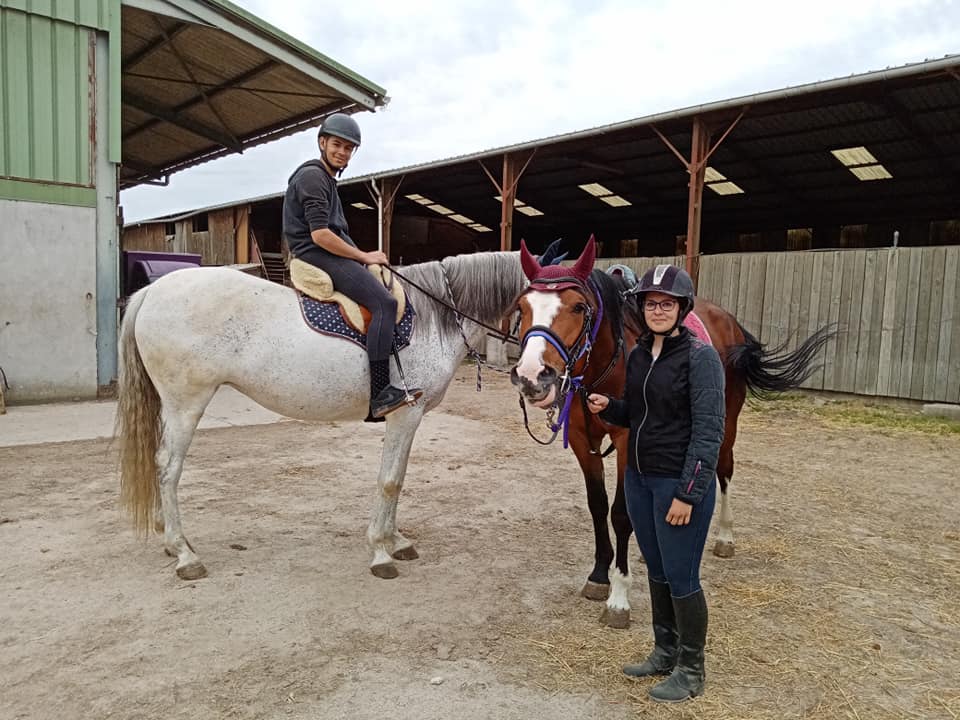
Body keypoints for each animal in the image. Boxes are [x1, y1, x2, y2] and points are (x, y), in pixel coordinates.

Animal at [115, 251, 526, 581]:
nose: (532, 376)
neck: (432, 317)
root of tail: (153, 291)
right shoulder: (406, 413)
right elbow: (390, 480)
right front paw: (381, 552)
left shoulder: (411, 418)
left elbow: (398, 478)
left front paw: (396, 541)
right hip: (185, 404)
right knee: (168, 467)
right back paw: (185, 554)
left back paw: (171, 540)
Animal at [510, 238, 833, 628]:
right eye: (522, 306)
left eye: (578, 306)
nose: (531, 376)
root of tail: (730, 321)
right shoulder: (581, 441)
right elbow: (597, 506)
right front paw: (600, 575)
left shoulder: (627, 441)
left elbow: (621, 513)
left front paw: (619, 598)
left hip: (726, 423)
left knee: (723, 471)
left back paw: (725, 537)